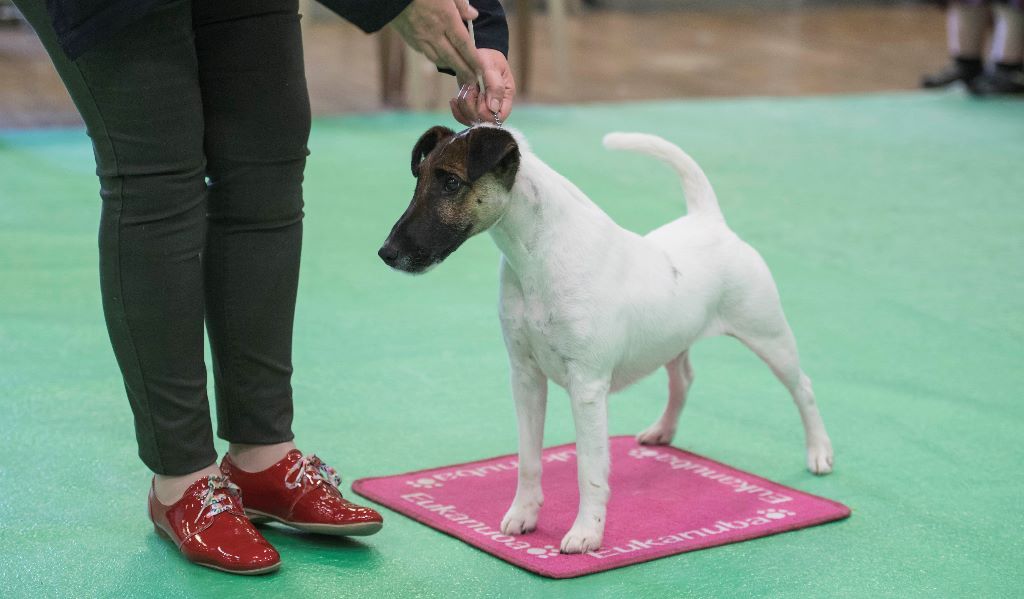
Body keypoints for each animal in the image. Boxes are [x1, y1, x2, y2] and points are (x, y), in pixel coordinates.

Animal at [376, 123, 831, 552]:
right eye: (418, 178)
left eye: (451, 182)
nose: (386, 253)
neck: (537, 258)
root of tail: (710, 222)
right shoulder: (525, 377)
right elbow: (528, 458)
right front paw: (523, 515)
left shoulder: (587, 387)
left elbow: (588, 468)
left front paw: (586, 535)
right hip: (675, 340)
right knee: (683, 380)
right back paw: (661, 431)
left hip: (768, 335)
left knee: (804, 389)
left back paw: (819, 453)